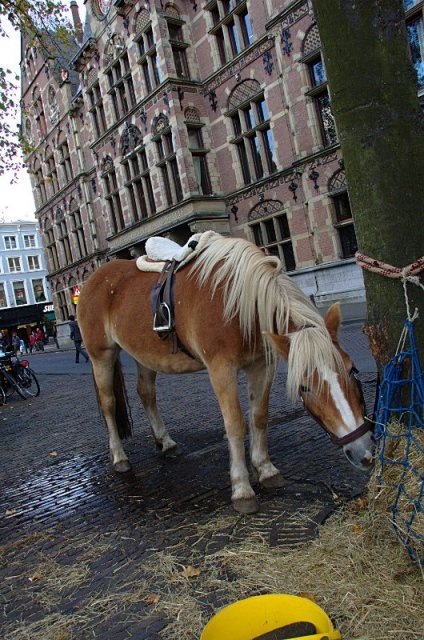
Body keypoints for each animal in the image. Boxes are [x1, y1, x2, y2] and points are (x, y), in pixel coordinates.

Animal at [78, 232, 372, 512]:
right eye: (304, 387)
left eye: (353, 370)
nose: (364, 453)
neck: (239, 303)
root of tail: (94, 279)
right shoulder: (221, 370)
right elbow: (235, 424)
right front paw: (242, 489)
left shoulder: (261, 365)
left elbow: (259, 417)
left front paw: (266, 470)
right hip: (101, 355)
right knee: (108, 403)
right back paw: (120, 457)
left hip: (145, 356)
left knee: (146, 393)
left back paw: (166, 442)